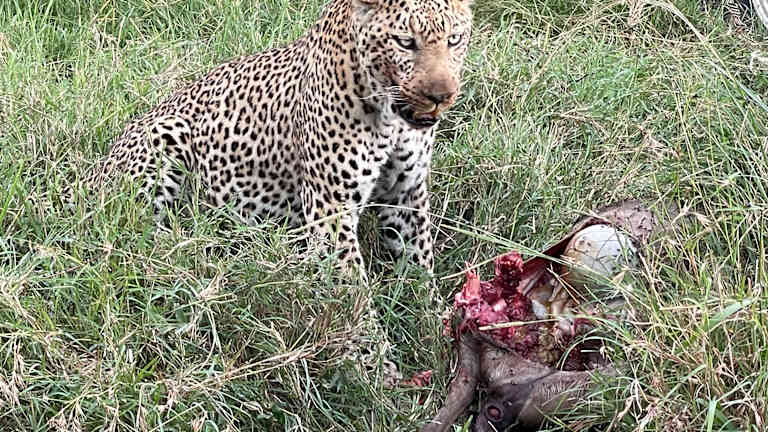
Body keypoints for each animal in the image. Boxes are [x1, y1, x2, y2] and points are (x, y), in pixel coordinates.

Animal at [85, 0, 474, 282]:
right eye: (405, 42)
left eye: (454, 39)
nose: (441, 96)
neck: (391, 118)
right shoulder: (330, 207)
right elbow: (353, 291)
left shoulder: (406, 193)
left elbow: (420, 265)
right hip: (166, 133)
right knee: (135, 237)